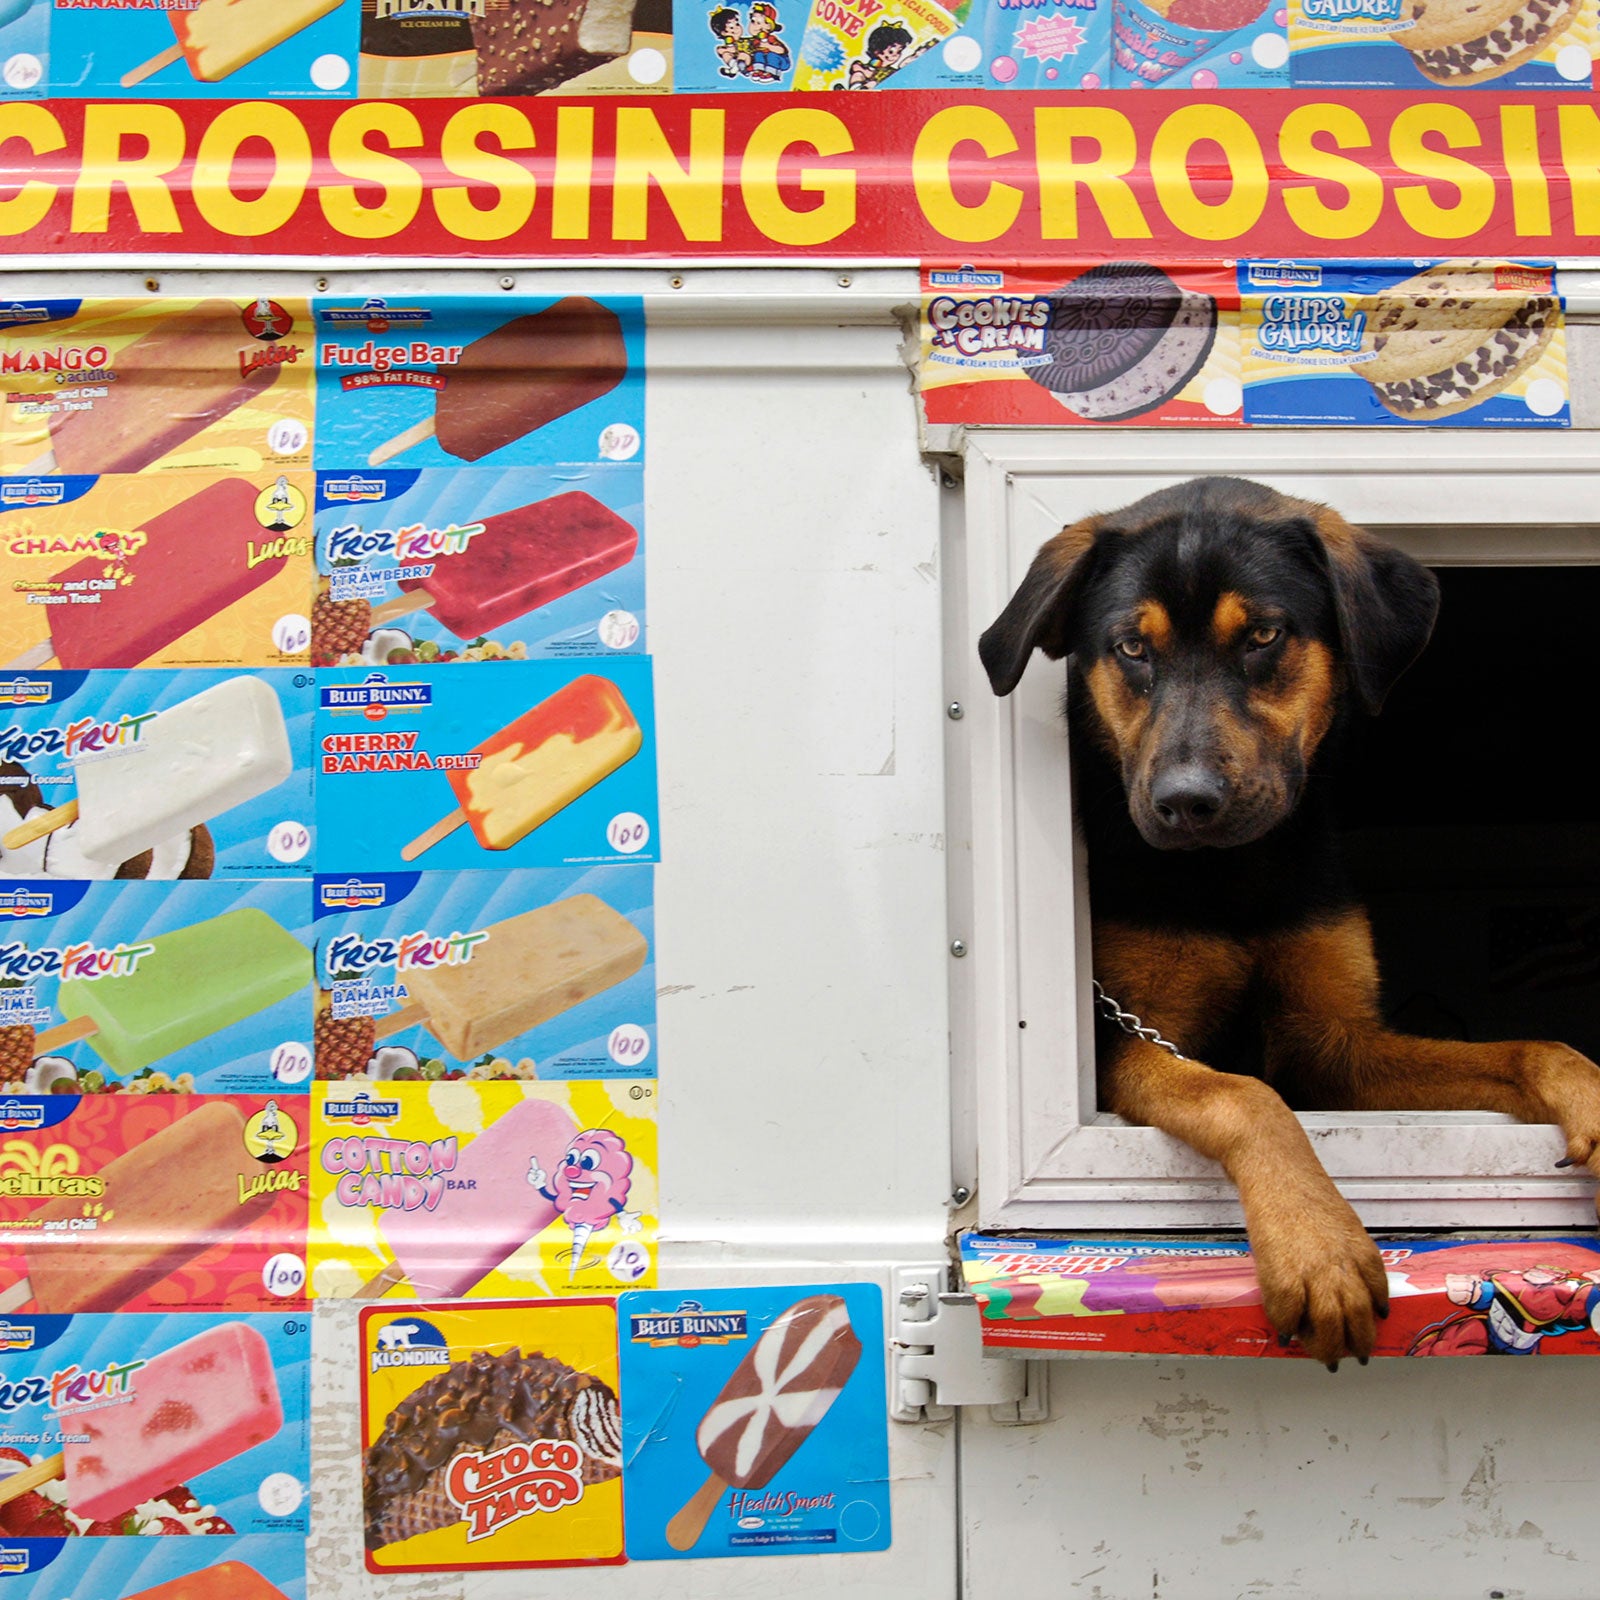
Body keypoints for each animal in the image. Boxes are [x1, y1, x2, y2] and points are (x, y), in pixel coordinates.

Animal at [972, 470, 1600, 1363]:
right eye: (1131, 648)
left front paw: (1588, 1092)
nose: (1185, 803)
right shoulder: (1133, 1040)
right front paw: (1318, 1246)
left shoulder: (1333, 1047)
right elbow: (1245, 1096)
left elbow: (1527, 1048)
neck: (1237, 871)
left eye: (1263, 636)